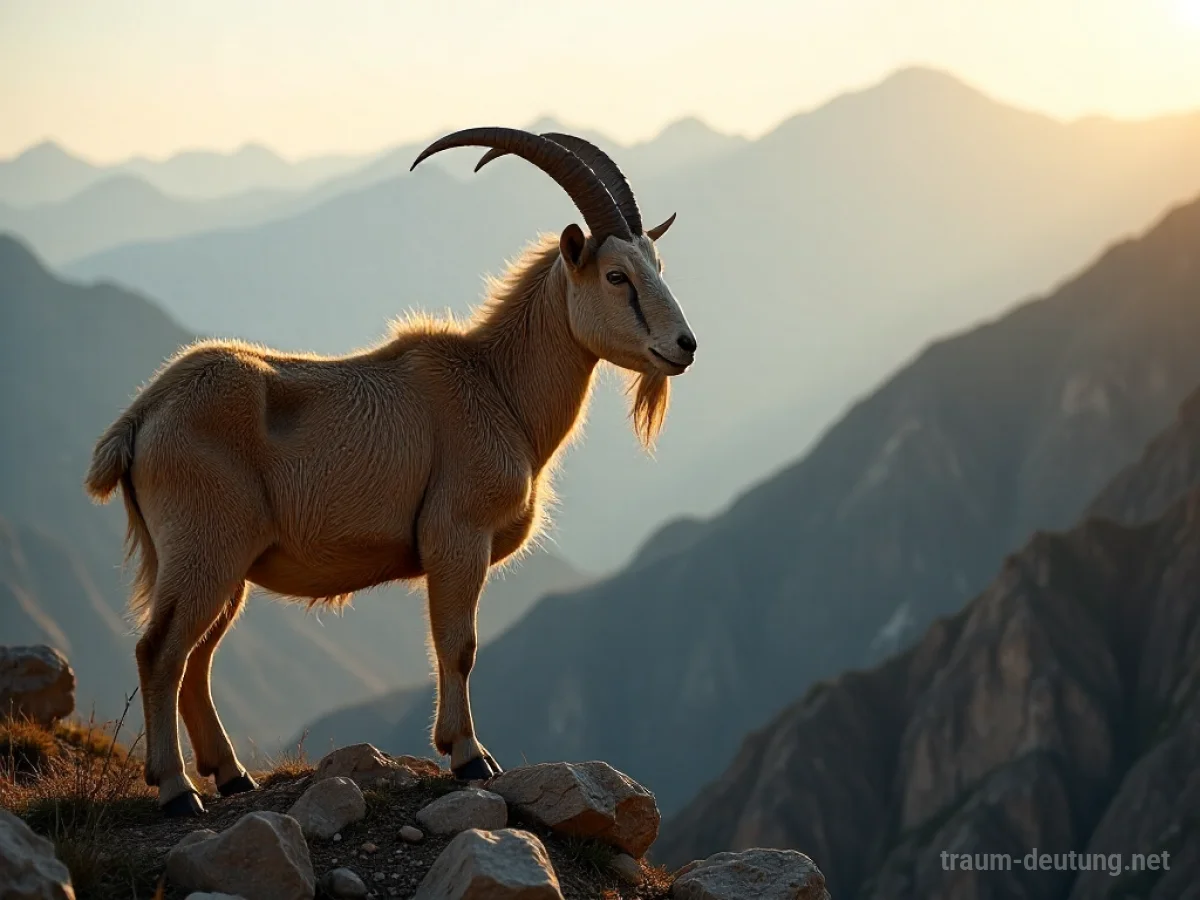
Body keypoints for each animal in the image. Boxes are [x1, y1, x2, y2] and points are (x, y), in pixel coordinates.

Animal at [84, 127, 697, 816]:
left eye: (658, 268)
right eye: (618, 276)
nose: (684, 346)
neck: (497, 386)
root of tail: (142, 418)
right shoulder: (457, 537)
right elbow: (459, 646)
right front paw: (469, 755)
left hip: (221, 565)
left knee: (195, 659)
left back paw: (233, 775)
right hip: (204, 550)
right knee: (160, 651)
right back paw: (175, 789)